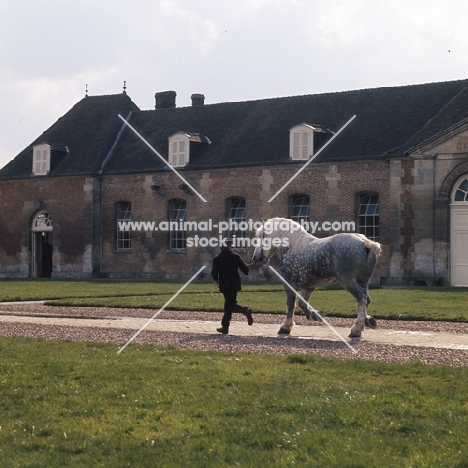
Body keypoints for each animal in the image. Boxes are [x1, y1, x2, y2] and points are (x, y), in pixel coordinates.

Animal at [252, 218, 380, 338]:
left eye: (261, 237)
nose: (255, 258)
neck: (292, 246)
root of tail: (364, 242)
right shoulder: (309, 286)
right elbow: (302, 303)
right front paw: (314, 315)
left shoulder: (289, 283)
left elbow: (291, 304)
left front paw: (285, 327)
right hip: (363, 280)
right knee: (366, 299)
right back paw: (366, 321)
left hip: (348, 281)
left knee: (361, 297)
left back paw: (356, 329)